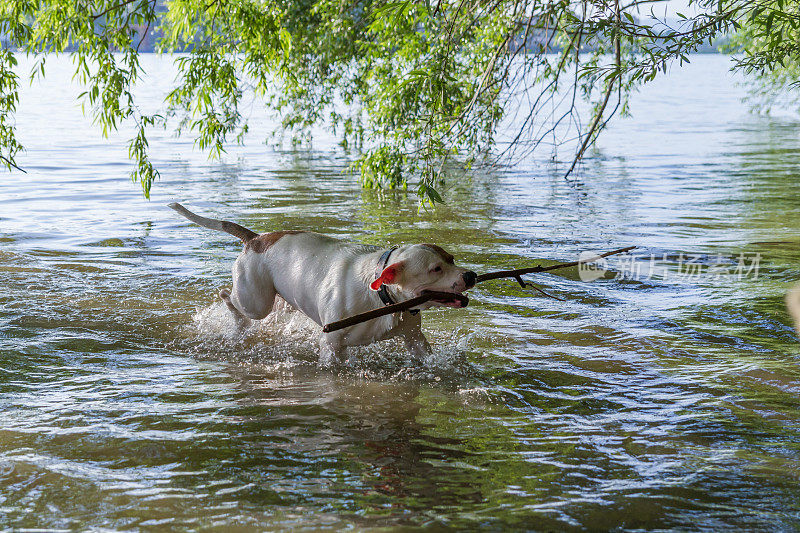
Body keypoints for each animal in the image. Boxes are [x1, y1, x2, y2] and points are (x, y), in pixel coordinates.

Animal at [170, 203, 478, 362]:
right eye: (435, 269)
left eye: (451, 258)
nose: (470, 276)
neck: (381, 295)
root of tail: (256, 238)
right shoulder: (331, 344)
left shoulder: (414, 337)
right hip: (255, 301)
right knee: (229, 297)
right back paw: (235, 320)